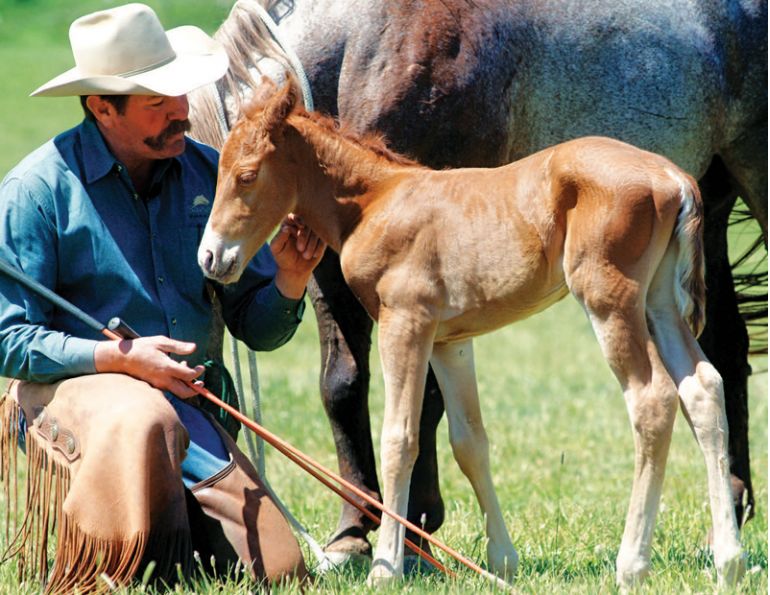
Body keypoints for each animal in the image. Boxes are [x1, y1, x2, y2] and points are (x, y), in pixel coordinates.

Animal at [188, 0, 767, 562]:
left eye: (245, 175)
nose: (211, 257)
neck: (379, 198)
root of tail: (673, 177)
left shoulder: (407, 324)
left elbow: (402, 434)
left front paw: (391, 561)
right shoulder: (451, 341)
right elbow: (469, 442)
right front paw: (499, 559)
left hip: (614, 296)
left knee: (651, 400)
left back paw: (633, 563)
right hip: (665, 295)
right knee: (704, 382)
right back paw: (727, 554)